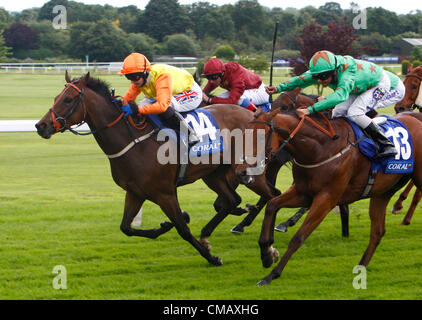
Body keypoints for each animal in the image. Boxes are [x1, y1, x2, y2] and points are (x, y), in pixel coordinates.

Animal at [35, 72, 280, 264]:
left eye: (68, 99)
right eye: (56, 98)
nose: (41, 125)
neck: (133, 141)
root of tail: (256, 114)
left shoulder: (165, 192)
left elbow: (182, 227)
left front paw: (211, 257)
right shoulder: (135, 192)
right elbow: (127, 227)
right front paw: (164, 227)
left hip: (248, 170)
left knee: (272, 196)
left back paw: (266, 245)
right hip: (213, 174)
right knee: (232, 200)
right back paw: (210, 233)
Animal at [236, 108, 422, 284]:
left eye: (261, 137)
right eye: (243, 135)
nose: (241, 172)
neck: (320, 149)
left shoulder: (327, 199)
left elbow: (298, 237)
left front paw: (271, 275)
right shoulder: (303, 193)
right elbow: (272, 205)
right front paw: (267, 253)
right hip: (382, 192)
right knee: (377, 232)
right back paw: (361, 267)